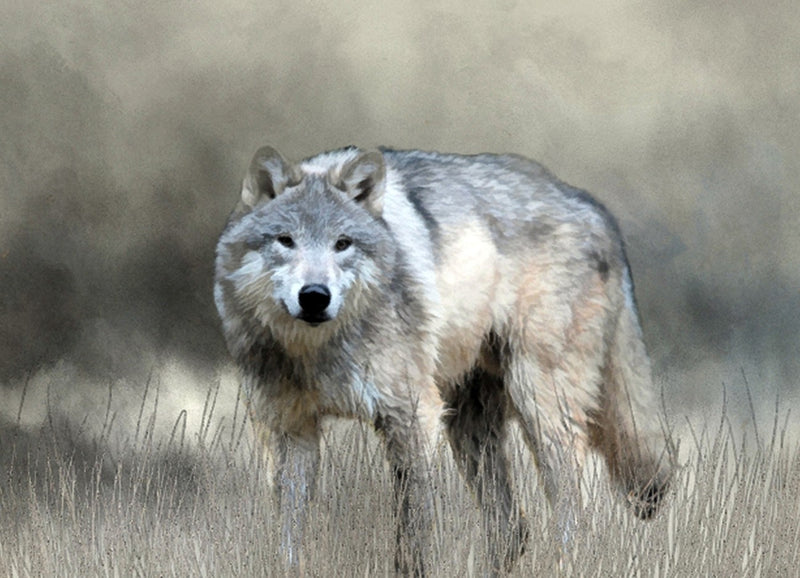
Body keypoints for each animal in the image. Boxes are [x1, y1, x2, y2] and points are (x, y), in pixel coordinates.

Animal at [214, 145, 673, 576]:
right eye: (285, 240)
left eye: (342, 244)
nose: (314, 296)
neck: (317, 352)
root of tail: (588, 203)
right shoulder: (290, 431)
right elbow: (289, 537)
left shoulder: (412, 418)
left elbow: (413, 531)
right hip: (470, 429)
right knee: (513, 529)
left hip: (539, 406)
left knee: (572, 512)